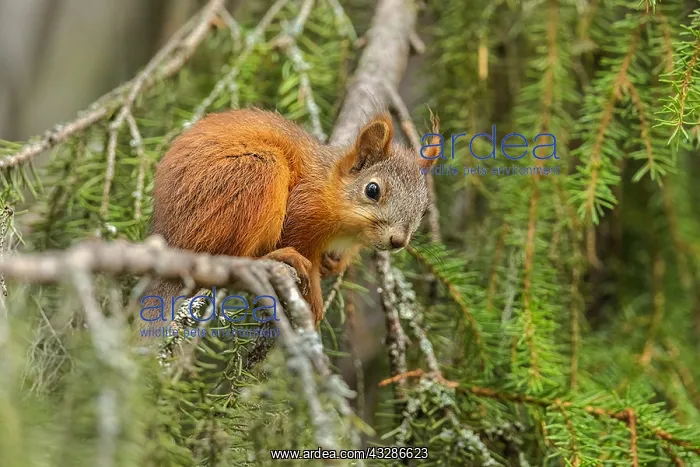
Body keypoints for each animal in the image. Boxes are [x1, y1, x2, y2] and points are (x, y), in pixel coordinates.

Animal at [147, 108, 438, 325]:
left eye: (424, 207)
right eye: (372, 190)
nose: (398, 241)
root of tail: (172, 237)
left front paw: (336, 263)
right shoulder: (303, 211)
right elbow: (301, 246)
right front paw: (316, 298)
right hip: (256, 172)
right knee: (229, 258)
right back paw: (274, 258)